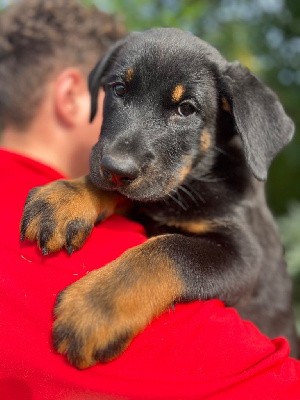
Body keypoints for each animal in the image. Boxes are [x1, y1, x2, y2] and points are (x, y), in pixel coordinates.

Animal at [20, 26, 298, 368]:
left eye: (186, 109)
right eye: (119, 89)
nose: (116, 169)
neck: (197, 178)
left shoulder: (246, 256)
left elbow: (168, 249)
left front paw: (96, 306)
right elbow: (124, 194)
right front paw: (64, 198)